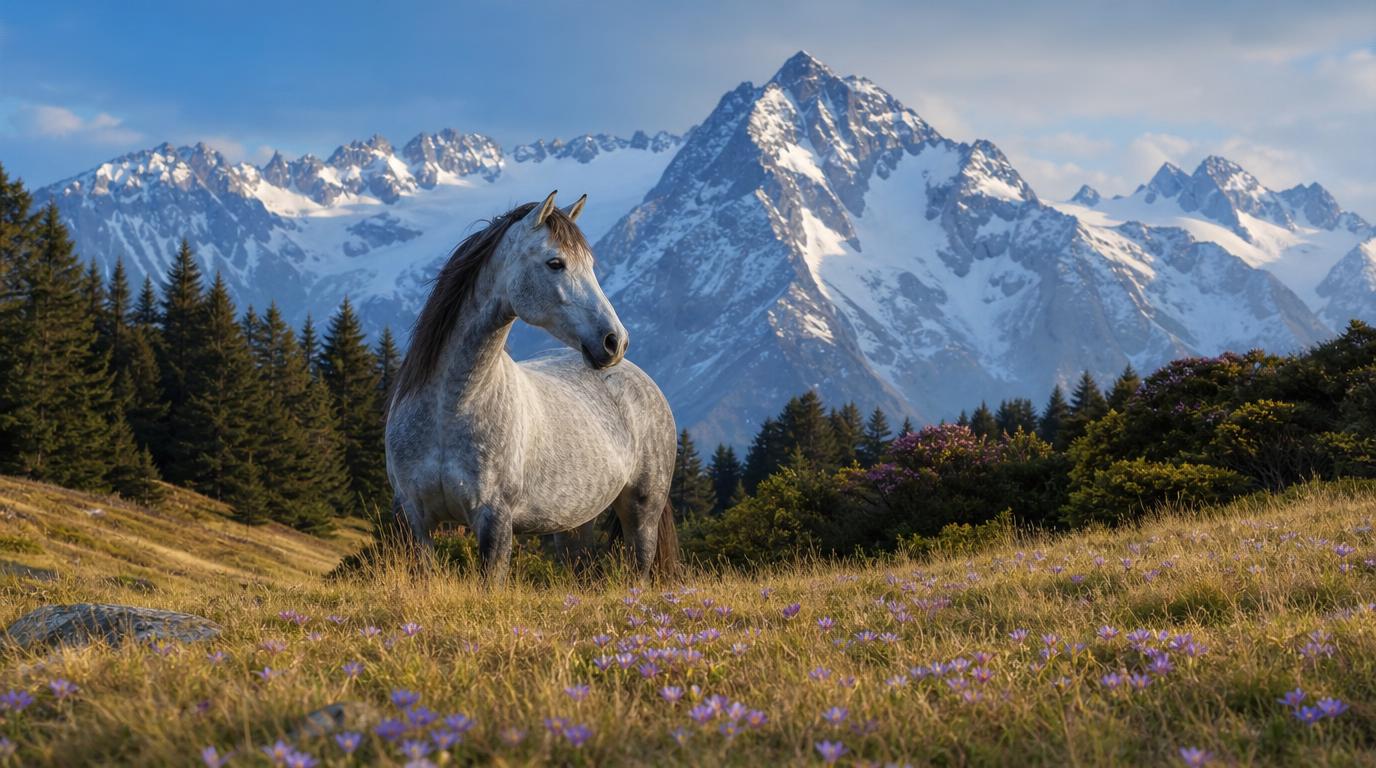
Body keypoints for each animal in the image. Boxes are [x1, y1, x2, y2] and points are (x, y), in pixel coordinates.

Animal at [384, 190, 679, 584]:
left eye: (591, 264)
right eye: (556, 263)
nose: (614, 341)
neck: (450, 409)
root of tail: (644, 382)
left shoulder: (495, 520)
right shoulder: (414, 518)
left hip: (642, 512)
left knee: (640, 572)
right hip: (575, 521)